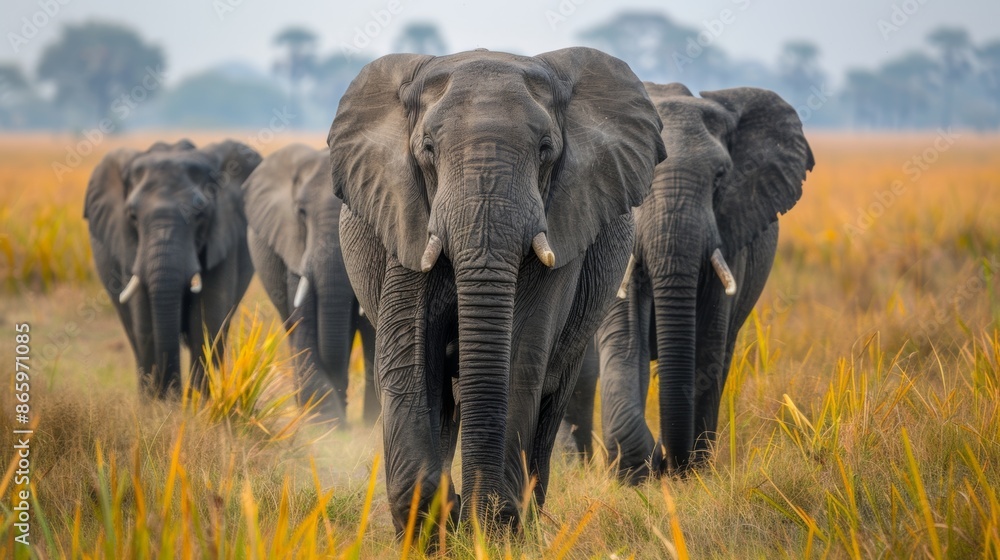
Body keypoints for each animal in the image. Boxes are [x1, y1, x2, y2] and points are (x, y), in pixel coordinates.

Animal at [84, 139, 261, 399]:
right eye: (132, 216)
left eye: (200, 214)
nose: (172, 394)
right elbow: (145, 325)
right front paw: (160, 406)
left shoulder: (223, 239)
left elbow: (206, 321)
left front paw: (196, 404)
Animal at [327, 47, 665, 531]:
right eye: (427, 149)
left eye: (545, 150)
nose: (473, 513)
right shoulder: (405, 214)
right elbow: (409, 353)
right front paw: (436, 523)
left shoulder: (562, 221)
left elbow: (521, 355)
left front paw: (492, 528)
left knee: (551, 395)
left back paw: (528, 519)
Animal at [597, 83, 814, 482]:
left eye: (720, 177)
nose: (665, 463)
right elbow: (624, 340)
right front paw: (636, 473)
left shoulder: (730, 234)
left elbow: (708, 345)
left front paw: (688, 474)